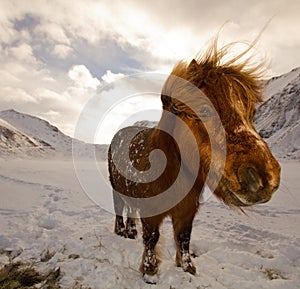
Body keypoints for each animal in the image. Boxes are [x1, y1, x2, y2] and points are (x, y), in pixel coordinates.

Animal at [108, 38, 282, 284]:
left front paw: (187, 267)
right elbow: (151, 238)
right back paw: (121, 231)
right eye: (205, 110)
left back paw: (131, 231)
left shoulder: (187, 211)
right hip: (116, 189)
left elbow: (184, 238)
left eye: (251, 114)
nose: (264, 177)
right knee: (119, 209)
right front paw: (150, 272)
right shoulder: (152, 212)